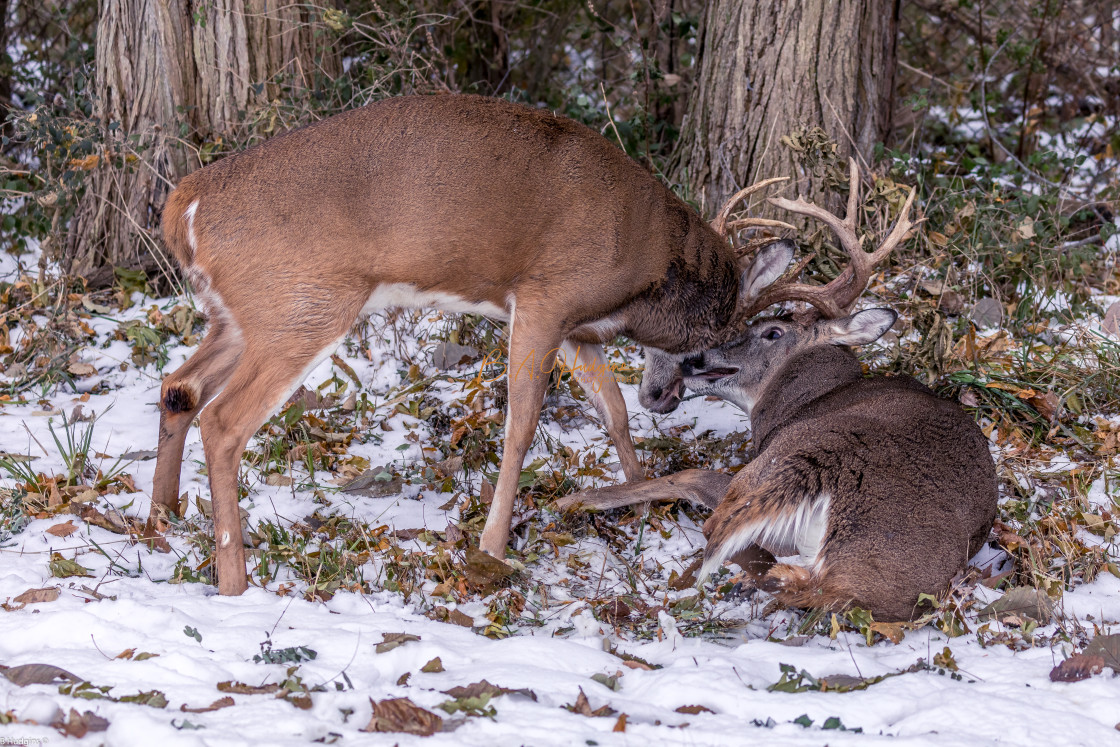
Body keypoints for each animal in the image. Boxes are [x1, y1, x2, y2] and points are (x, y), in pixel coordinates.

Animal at [151, 93, 788, 595]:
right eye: (723, 339)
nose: (667, 398)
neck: (647, 264)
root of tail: (182, 206)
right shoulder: (545, 296)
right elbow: (523, 425)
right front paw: (492, 547)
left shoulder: (576, 328)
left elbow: (612, 409)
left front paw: (638, 497)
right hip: (302, 307)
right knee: (224, 421)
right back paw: (234, 581)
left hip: (241, 317)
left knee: (178, 385)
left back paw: (162, 518)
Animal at [560, 164, 999, 627]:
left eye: (771, 332)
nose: (695, 359)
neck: (812, 394)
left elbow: (687, 480)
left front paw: (579, 500)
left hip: (770, 471)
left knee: (706, 507)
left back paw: (581, 506)